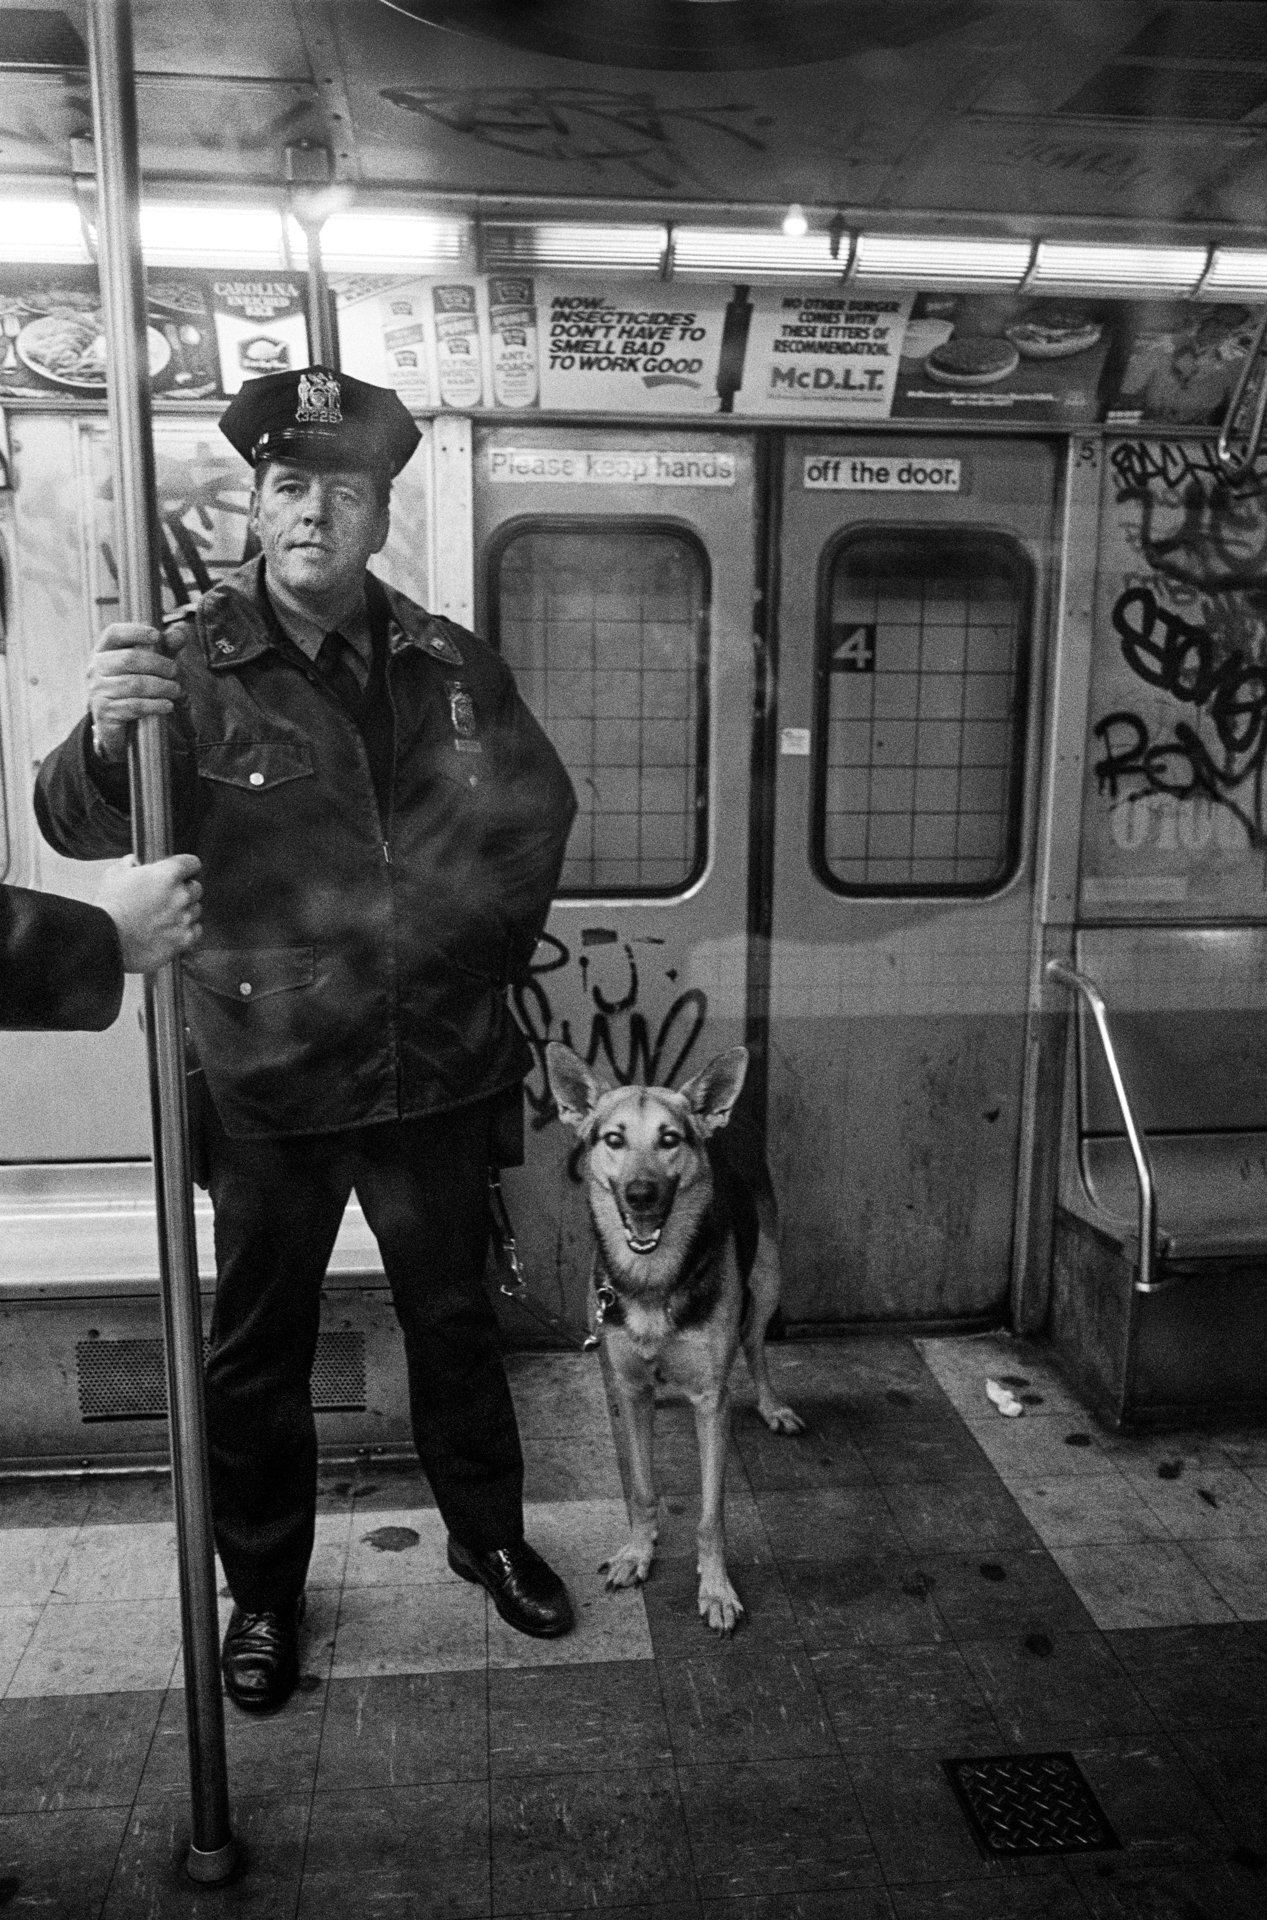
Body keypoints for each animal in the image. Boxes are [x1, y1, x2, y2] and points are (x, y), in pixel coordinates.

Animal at [545, 1044, 802, 1628]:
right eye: (613, 1139)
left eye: (669, 1139)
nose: (641, 1194)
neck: (652, 1281)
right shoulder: (630, 1389)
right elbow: (642, 1490)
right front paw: (639, 1552)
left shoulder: (711, 1400)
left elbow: (711, 1516)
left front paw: (716, 1588)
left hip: (767, 1282)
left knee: (755, 1348)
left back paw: (773, 1405)